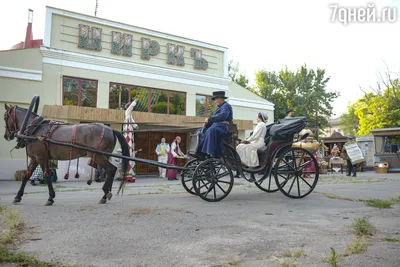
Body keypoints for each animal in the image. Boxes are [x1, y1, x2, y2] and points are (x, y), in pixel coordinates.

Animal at [3, 103, 133, 206]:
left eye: (4, 117)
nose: (6, 136)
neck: (35, 130)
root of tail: (111, 130)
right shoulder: (35, 158)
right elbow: (27, 175)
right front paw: (18, 197)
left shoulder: (41, 157)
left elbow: (46, 175)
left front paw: (50, 198)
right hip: (103, 156)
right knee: (111, 170)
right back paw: (106, 194)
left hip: (98, 155)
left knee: (111, 169)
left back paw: (105, 194)